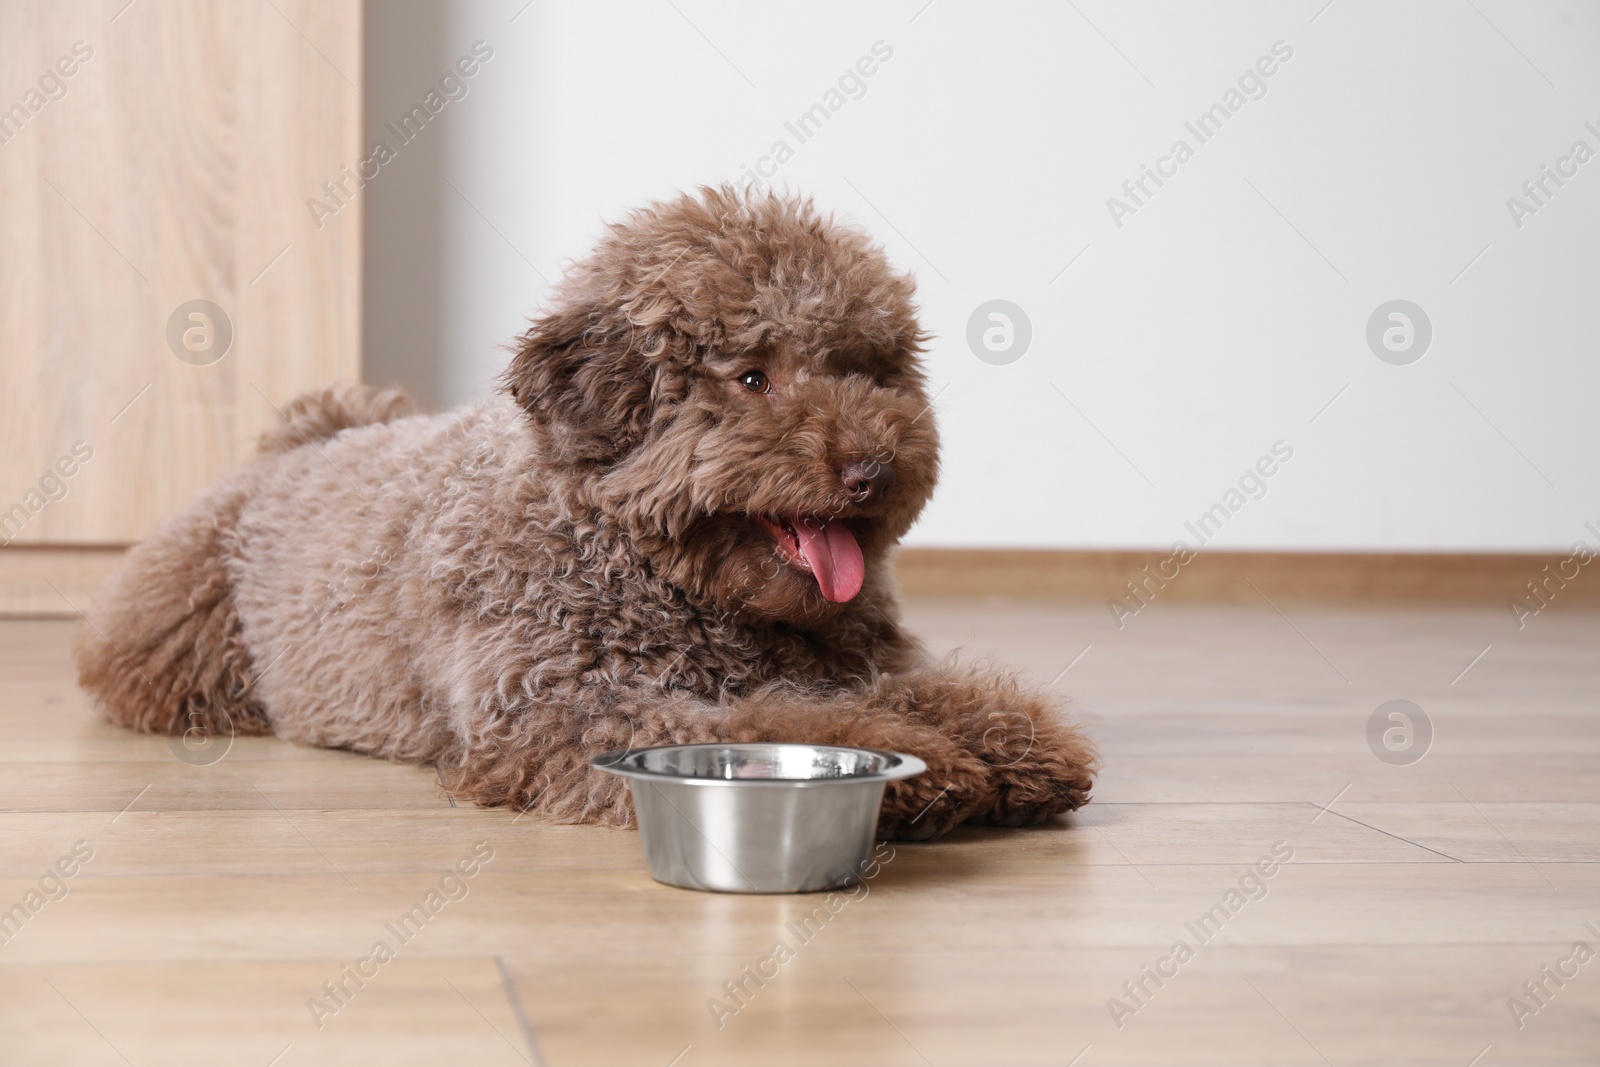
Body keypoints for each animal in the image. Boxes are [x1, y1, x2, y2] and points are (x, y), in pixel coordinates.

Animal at [78, 189, 1100, 844]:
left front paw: (1011, 740)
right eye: (753, 377)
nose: (872, 469)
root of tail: (300, 440)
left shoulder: (860, 659)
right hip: (181, 644)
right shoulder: (557, 709)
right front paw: (928, 766)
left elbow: (920, 690)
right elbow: (774, 718)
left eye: (869, 369)